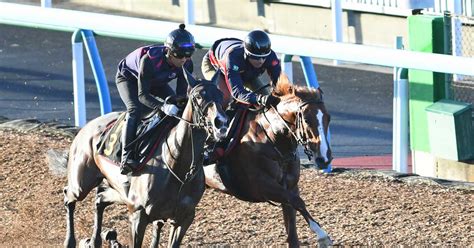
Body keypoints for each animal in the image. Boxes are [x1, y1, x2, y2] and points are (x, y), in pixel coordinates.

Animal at [62, 70, 229, 247]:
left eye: (220, 94)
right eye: (198, 96)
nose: (221, 123)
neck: (179, 169)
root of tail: (87, 126)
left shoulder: (183, 219)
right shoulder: (137, 215)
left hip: (120, 191)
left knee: (100, 198)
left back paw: (95, 240)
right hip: (81, 183)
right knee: (69, 196)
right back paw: (70, 241)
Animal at [202, 74, 332, 247]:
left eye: (328, 118)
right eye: (306, 120)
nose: (325, 158)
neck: (271, 137)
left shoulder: (290, 186)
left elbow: (293, 225)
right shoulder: (262, 186)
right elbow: (298, 201)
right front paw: (322, 236)